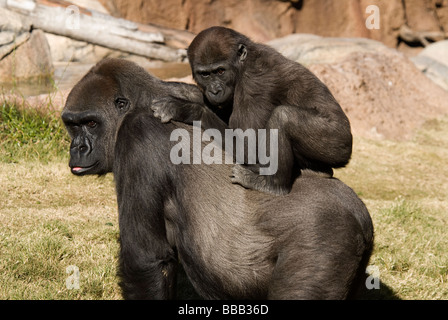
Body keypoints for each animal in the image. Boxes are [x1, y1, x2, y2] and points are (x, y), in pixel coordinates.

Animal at [61, 58, 372, 300]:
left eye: (91, 123)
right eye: (71, 125)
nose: (77, 148)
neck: (145, 100)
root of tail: (361, 219)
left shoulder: (136, 135)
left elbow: (145, 261)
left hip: (324, 240)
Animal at [152, 25, 352, 195]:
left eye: (220, 71)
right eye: (205, 74)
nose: (215, 90)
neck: (242, 63)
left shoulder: (254, 83)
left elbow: (250, 146)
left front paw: (185, 109)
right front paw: (177, 89)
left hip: (338, 143)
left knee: (284, 117)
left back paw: (272, 185)